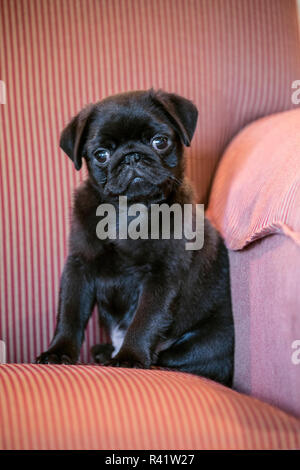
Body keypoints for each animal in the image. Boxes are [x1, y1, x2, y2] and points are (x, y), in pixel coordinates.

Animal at [35, 90, 234, 388]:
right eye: (101, 155)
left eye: (160, 141)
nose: (132, 157)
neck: (129, 212)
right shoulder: (79, 267)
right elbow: (69, 312)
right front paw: (58, 351)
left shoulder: (161, 276)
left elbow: (145, 319)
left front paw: (129, 357)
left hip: (207, 343)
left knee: (171, 357)